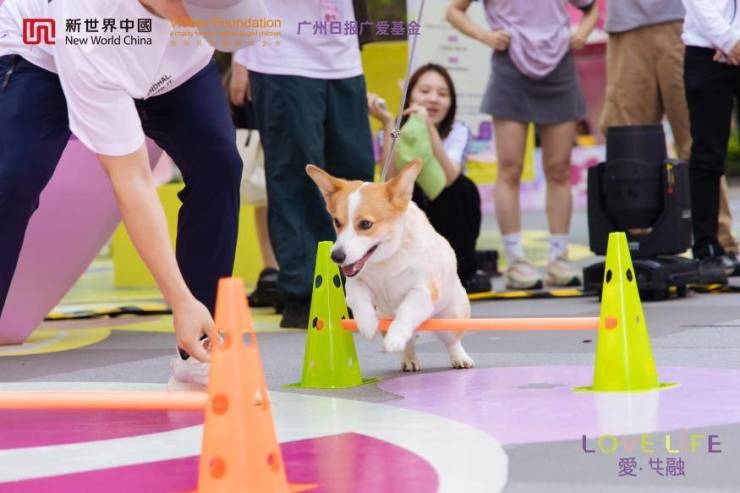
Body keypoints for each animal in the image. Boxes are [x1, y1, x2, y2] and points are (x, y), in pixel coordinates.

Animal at [306, 160, 475, 371]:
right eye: (337, 222)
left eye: (366, 224)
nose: (336, 256)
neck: (385, 261)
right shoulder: (356, 284)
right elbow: (359, 300)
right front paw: (368, 325)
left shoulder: (423, 292)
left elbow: (406, 311)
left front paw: (395, 338)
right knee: (410, 342)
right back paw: (409, 359)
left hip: (451, 317)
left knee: (452, 341)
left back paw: (460, 358)